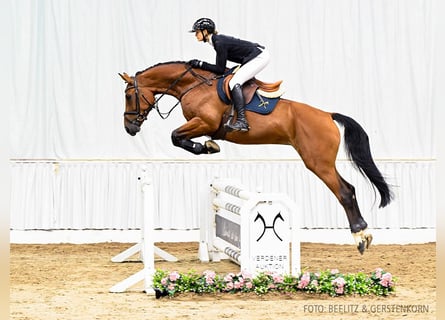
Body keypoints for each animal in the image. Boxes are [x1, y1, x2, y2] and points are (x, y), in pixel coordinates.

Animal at [119, 61, 392, 254]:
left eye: (129, 96)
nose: (129, 128)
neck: (193, 85)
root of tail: (327, 115)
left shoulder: (204, 122)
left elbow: (175, 136)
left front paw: (206, 147)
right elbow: (177, 137)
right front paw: (209, 145)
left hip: (318, 162)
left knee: (344, 191)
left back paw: (360, 236)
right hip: (321, 162)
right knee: (350, 188)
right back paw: (363, 234)